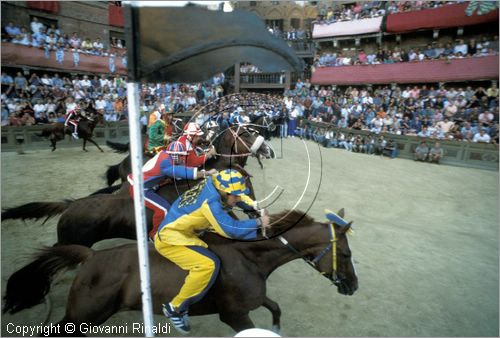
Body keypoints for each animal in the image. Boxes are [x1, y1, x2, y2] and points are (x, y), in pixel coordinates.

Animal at [1, 209, 358, 332]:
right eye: (347, 253)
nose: (353, 286)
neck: (250, 257)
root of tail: (90, 256)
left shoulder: (252, 302)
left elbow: (276, 308)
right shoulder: (234, 315)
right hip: (84, 316)